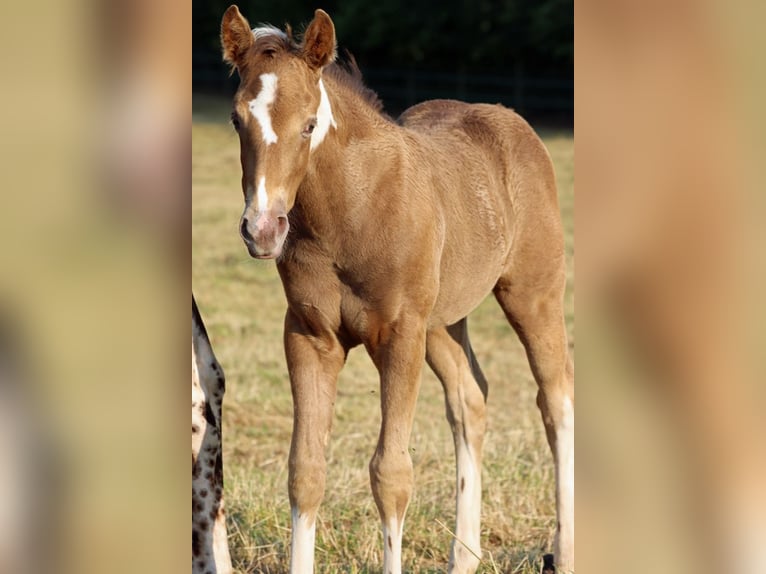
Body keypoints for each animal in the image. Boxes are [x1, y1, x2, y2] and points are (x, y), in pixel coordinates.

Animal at [220, 6, 574, 573]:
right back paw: (464, 556)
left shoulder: (400, 337)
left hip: (532, 293)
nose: (263, 229)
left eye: (309, 124)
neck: (352, 211)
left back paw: (564, 549)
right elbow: (305, 470)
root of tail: (509, 119)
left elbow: (391, 475)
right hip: (444, 321)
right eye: (237, 120)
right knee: (470, 400)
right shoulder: (310, 337)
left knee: (555, 400)